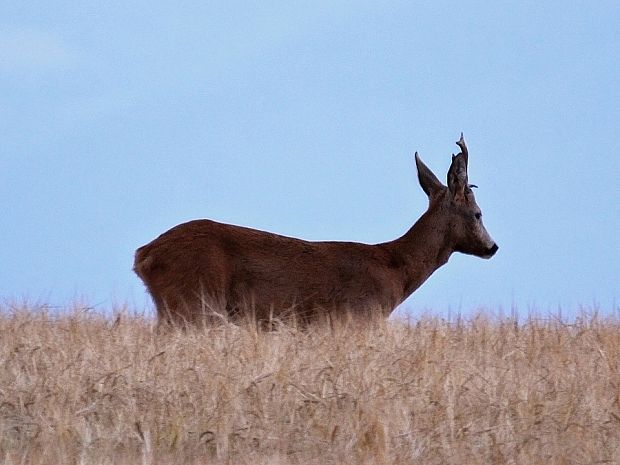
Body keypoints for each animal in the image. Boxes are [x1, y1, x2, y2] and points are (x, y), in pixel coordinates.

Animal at [134, 132, 498, 324]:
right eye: (478, 214)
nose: (492, 247)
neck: (395, 269)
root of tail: (143, 255)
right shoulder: (358, 316)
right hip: (193, 302)